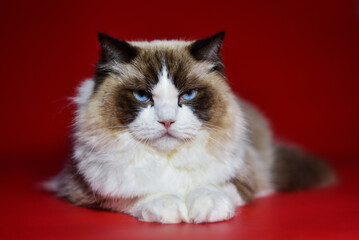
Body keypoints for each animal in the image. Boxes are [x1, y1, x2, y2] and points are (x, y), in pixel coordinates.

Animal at [46, 31, 336, 223]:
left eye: (188, 95)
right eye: (142, 96)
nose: (167, 120)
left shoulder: (245, 177)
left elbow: (214, 188)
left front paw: (203, 210)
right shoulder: (88, 189)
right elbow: (137, 195)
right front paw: (171, 208)